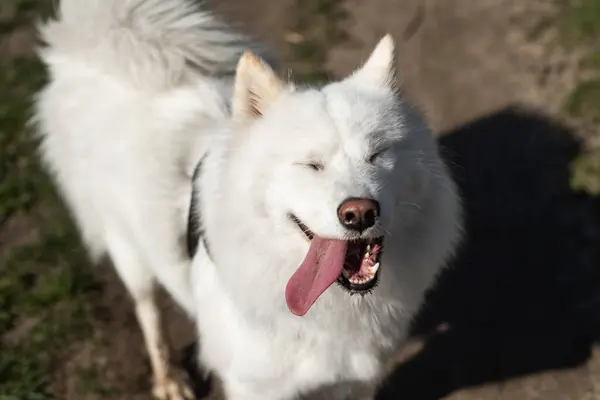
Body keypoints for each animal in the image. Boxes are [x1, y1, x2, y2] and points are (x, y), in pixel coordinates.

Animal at [35, 1, 462, 398]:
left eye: (377, 155)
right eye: (311, 165)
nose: (359, 213)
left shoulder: (355, 382)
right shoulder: (255, 387)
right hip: (128, 250)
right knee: (148, 310)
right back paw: (168, 378)